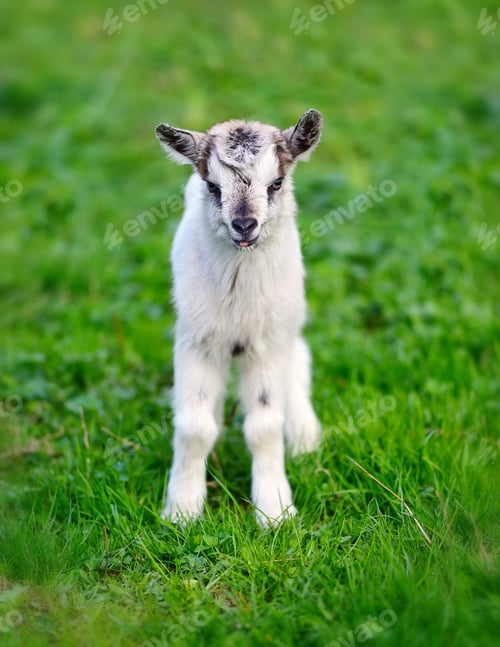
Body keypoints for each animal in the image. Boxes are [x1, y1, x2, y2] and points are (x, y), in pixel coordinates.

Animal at [155, 109, 323, 526]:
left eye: (276, 183)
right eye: (212, 186)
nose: (244, 225)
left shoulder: (267, 344)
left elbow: (263, 426)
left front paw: (275, 512)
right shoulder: (196, 341)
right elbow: (194, 426)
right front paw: (182, 511)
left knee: (299, 367)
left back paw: (306, 441)